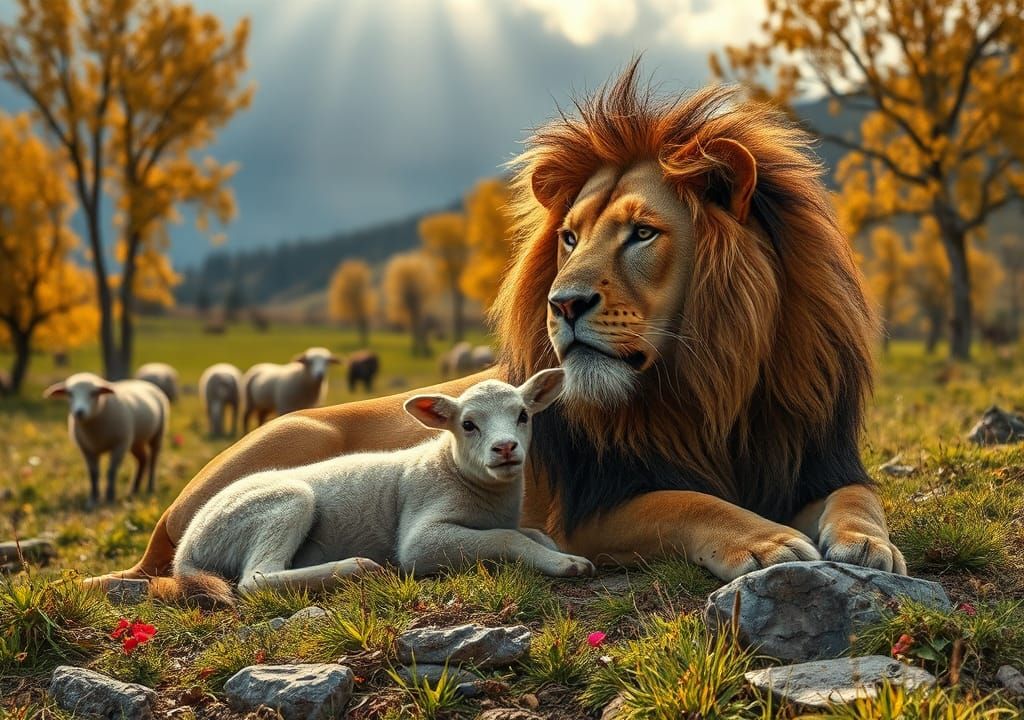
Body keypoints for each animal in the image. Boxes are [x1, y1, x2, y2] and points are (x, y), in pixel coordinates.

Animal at [43, 372, 169, 506]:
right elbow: (93, 473)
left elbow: (111, 471)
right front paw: (93, 499)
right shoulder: (87, 449)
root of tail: (143, 382)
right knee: (143, 459)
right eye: (70, 393)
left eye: (93, 393)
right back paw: (134, 489)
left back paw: (150, 487)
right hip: (136, 440)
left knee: (154, 459)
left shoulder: (120, 444)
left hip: (158, 433)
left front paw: (110, 497)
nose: (79, 412)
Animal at [152, 368, 593, 606]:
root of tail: (187, 548)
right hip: (282, 503)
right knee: (255, 579)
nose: (505, 448)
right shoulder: (420, 537)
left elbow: (535, 533)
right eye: (468, 425)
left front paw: (559, 551)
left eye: (523, 415)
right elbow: (509, 538)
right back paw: (355, 568)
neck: (455, 470)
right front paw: (567, 564)